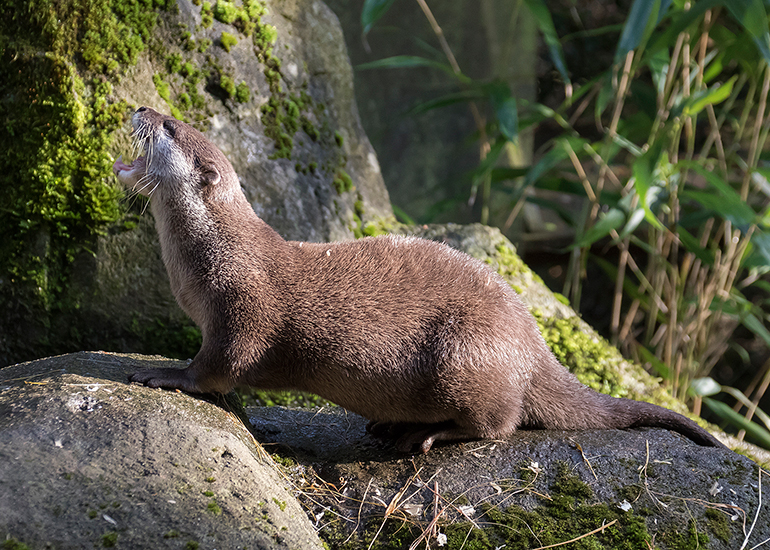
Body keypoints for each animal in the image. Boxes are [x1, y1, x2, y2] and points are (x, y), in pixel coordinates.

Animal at [113, 107, 725, 453]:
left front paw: (165, 376)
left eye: (168, 128)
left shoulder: (242, 306)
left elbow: (219, 367)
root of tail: (533, 346)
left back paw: (424, 434)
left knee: (499, 424)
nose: (141, 105)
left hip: (464, 354)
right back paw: (389, 427)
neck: (214, 254)